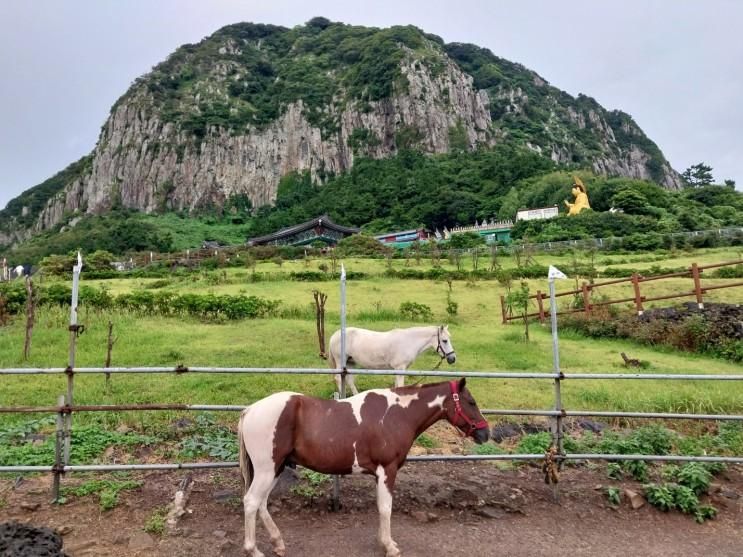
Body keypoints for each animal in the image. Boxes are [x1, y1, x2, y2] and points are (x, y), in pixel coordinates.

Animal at [238, 378, 492, 556]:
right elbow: (386, 508)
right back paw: (254, 550)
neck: (398, 414)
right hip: (267, 469)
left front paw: (384, 542)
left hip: (276, 468)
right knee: (251, 502)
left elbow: (380, 507)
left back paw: (278, 544)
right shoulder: (387, 470)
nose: (486, 433)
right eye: (471, 402)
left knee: (261, 503)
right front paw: (390, 547)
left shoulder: (379, 474)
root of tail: (250, 411)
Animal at [328, 326, 456, 396]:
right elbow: (400, 386)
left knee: (349, 380)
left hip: (350, 362)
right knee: (338, 378)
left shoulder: (397, 369)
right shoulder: (400, 368)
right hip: (341, 361)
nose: (452, 359)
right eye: (444, 340)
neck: (409, 341)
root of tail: (334, 335)